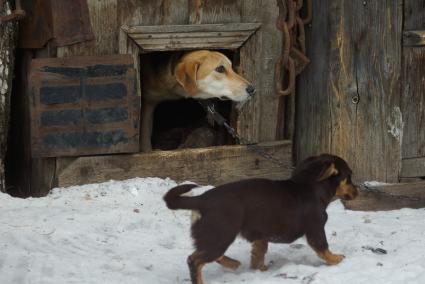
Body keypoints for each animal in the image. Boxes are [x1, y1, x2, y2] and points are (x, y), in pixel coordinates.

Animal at [162, 154, 358, 282]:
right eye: (349, 177)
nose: (357, 191)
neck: (310, 186)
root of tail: (201, 199)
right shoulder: (316, 229)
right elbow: (324, 248)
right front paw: (336, 259)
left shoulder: (261, 234)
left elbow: (259, 252)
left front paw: (260, 269)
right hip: (220, 235)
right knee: (194, 260)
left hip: (215, 237)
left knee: (207, 255)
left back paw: (233, 263)